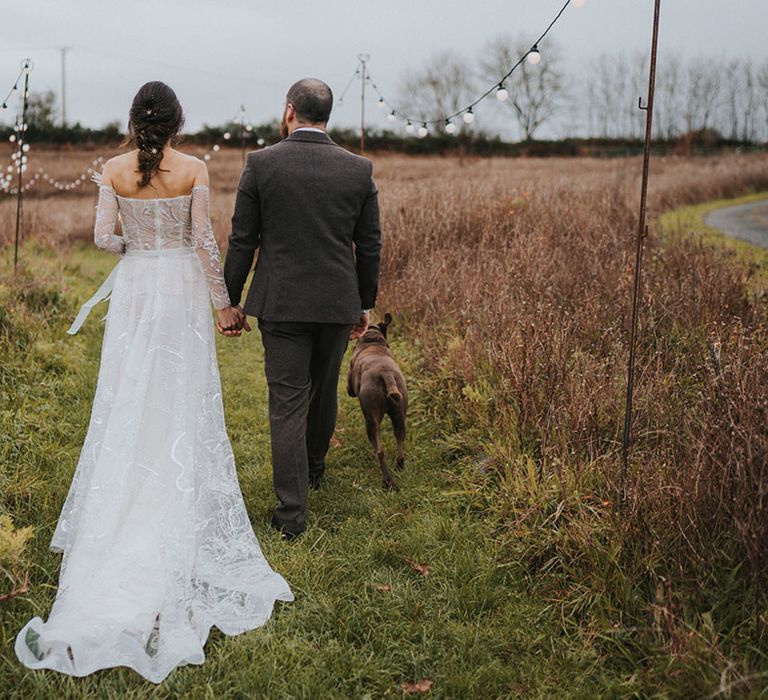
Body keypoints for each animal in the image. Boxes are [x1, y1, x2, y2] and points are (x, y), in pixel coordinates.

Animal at [348, 314, 408, 490]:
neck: (373, 340)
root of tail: (386, 374)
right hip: (399, 414)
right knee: (400, 438)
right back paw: (399, 465)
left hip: (371, 419)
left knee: (380, 450)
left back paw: (388, 482)